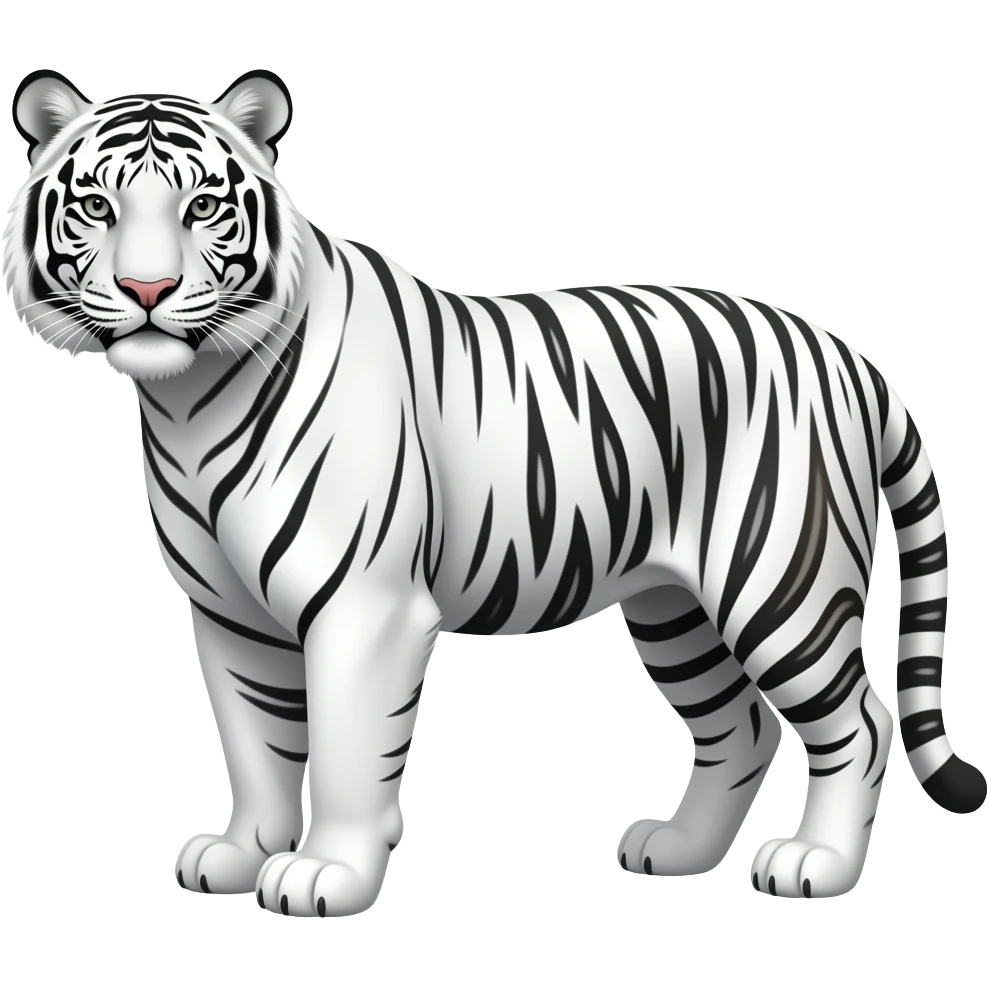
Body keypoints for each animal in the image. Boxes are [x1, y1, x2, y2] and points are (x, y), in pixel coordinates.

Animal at [4, 66, 984, 918]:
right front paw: (240, 854)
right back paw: (677, 850)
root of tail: (846, 354)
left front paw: (324, 875)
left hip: (781, 584)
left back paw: (815, 865)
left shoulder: (364, 608)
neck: (188, 398)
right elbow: (257, 744)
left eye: (202, 207)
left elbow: (347, 751)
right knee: (739, 728)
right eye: (96, 207)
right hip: (675, 607)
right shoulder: (228, 615)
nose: (148, 288)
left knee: (861, 722)